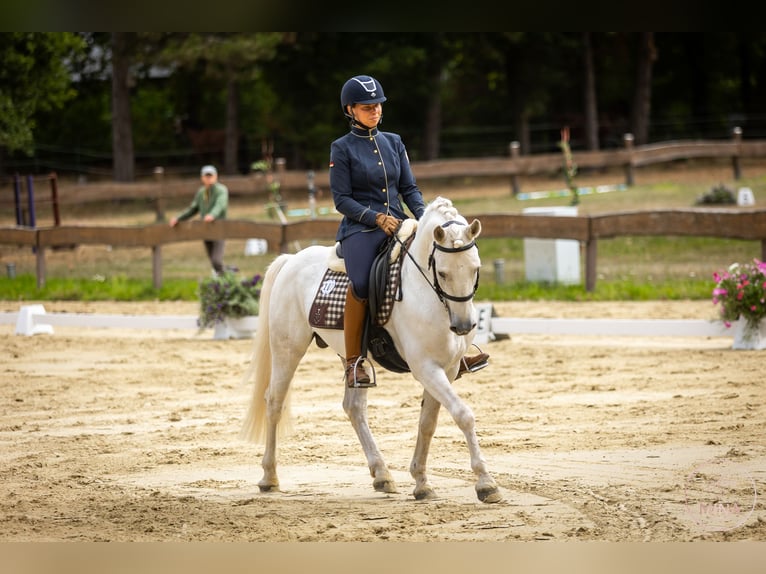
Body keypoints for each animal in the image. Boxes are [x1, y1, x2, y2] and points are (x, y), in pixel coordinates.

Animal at [240, 196, 502, 503]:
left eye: (475, 268)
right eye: (443, 273)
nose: (462, 326)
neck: (426, 292)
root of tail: (292, 260)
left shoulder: (446, 369)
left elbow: (428, 423)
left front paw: (421, 482)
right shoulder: (425, 367)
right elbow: (463, 415)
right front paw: (486, 483)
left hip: (351, 356)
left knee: (354, 408)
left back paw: (382, 474)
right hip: (287, 349)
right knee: (274, 402)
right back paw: (269, 477)